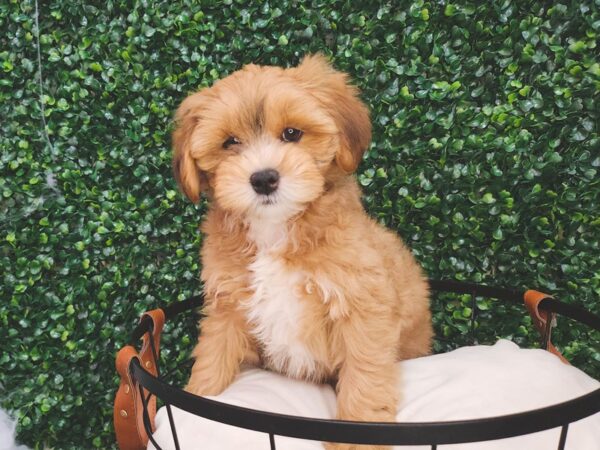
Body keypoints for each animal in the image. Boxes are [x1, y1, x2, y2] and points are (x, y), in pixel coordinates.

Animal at [172, 54, 432, 448]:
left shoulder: (362, 307)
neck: (275, 228)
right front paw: (197, 400)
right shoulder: (228, 305)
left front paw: (359, 440)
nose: (264, 178)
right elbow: (214, 354)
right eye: (230, 142)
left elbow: (365, 376)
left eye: (292, 133)